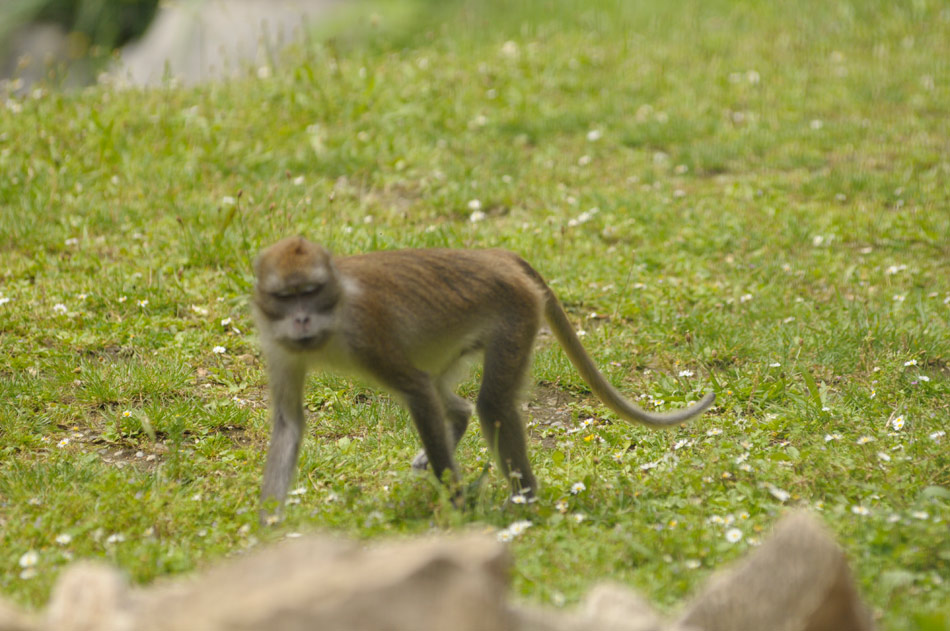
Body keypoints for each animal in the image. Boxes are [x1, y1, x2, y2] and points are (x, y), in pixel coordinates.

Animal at [252, 236, 714, 521]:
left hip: (517, 311)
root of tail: (494, 255)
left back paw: (524, 502)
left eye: (309, 292)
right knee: (451, 393)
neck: (334, 315)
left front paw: (457, 505)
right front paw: (268, 528)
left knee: (489, 403)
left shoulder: (367, 332)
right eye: (285, 297)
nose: (301, 319)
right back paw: (459, 424)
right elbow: (289, 423)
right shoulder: (278, 345)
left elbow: (417, 390)